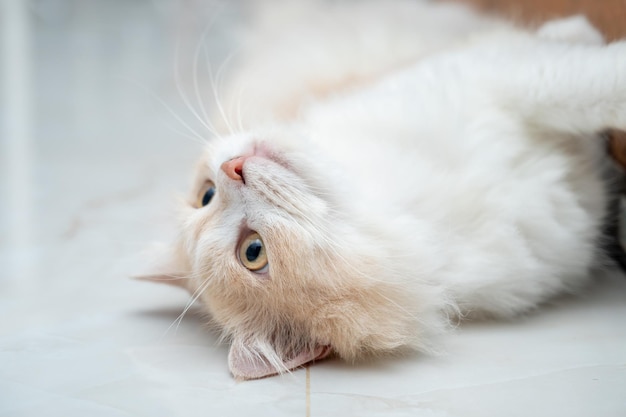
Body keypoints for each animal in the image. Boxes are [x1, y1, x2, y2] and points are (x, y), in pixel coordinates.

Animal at [138, 0, 624, 378]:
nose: (233, 167)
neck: (391, 202)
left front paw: (583, 36)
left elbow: (569, 79)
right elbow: (595, 82)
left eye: (205, 194)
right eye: (253, 253)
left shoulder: (490, 77)